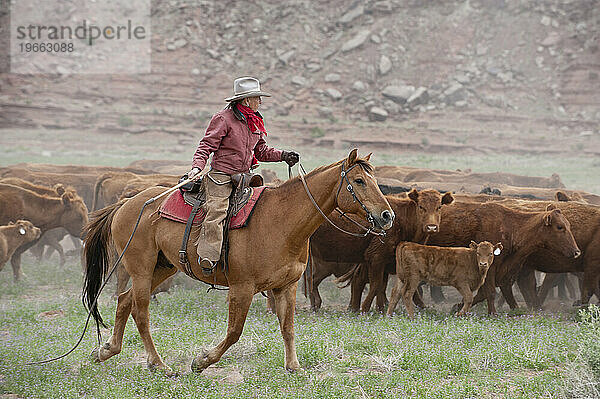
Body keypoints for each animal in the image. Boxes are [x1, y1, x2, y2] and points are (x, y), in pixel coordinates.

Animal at [84, 150, 394, 376]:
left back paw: (107, 350)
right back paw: (158, 363)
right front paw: (202, 361)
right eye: (359, 181)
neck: (282, 222)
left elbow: (288, 327)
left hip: (161, 267)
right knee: (140, 311)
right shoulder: (242, 288)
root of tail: (127, 203)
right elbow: (234, 332)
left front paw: (294, 367)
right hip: (141, 268)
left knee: (124, 300)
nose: (387, 216)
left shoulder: (287, 286)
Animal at [308, 190, 452, 312]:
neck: (401, 219)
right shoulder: (376, 257)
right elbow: (376, 285)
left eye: (439, 207)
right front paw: (366, 308)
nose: (431, 227)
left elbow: (384, 285)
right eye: (421, 207)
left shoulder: (386, 262)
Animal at [426, 203, 580, 316]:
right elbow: (490, 292)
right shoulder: (489, 268)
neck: (510, 228)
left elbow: (493, 292)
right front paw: (492, 313)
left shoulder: (506, 270)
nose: (577, 252)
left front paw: (457, 306)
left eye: (569, 225)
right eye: (560, 227)